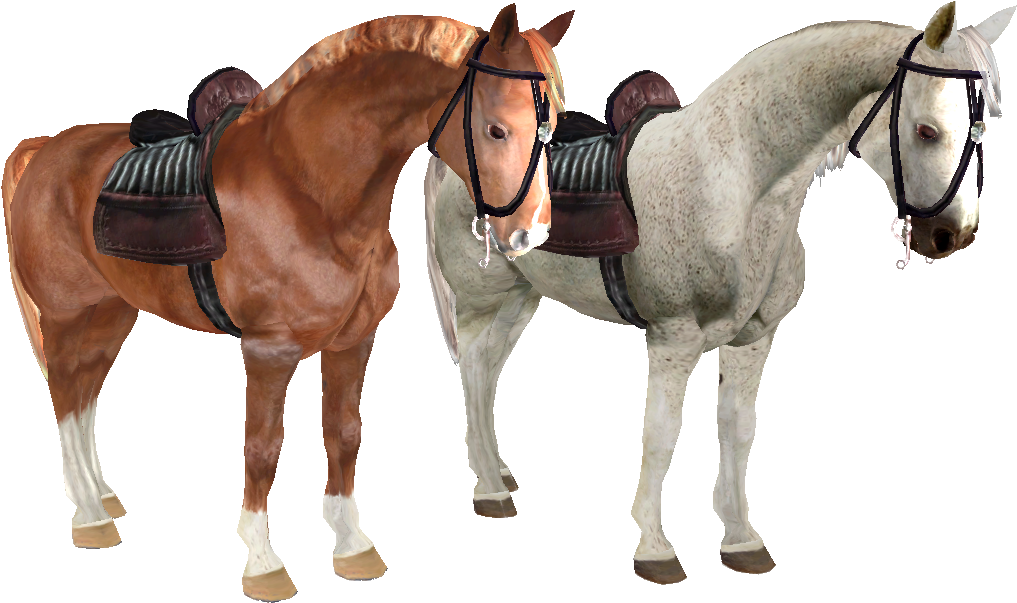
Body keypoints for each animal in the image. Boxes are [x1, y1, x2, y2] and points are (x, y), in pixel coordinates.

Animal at [3, 5, 574, 599]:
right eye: (495, 128)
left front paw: (351, 545)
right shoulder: (268, 352)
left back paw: (98, 495)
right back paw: (89, 517)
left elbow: (344, 434)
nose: (530, 234)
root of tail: (46, 150)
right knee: (64, 395)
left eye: (552, 127)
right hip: (66, 317)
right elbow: (263, 447)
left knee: (85, 396)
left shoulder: (353, 341)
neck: (308, 191)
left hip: (110, 314)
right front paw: (262, 562)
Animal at [424, 2, 1010, 584]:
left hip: (520, 297)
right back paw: (490, 489)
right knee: (474, 369)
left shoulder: (752, 338)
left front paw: (741, 538)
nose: (952, 236)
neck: (737, 183)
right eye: (927, 131)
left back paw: (496, 469)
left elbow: (738, 429)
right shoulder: (673, 340)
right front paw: (654, 547)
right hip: (480, 300)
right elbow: (662, 433)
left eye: (982, 129)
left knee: (489, 370)